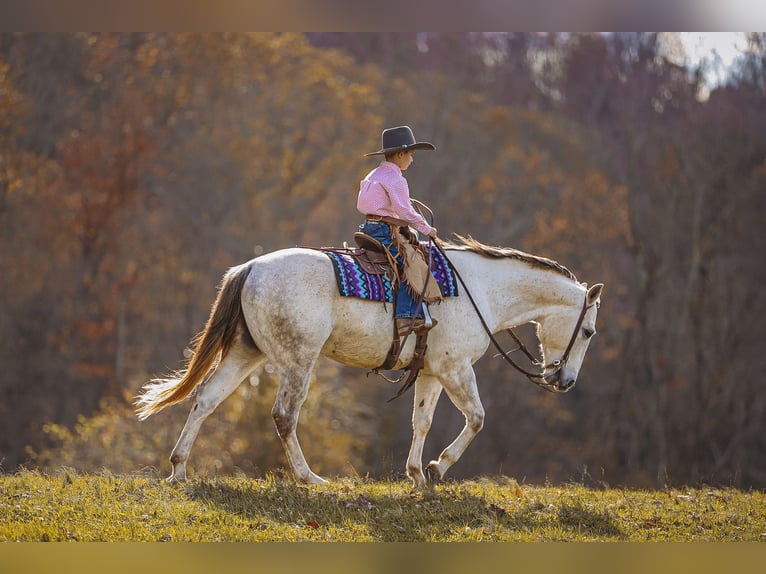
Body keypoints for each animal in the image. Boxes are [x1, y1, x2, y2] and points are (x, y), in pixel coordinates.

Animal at [138, 236, 608, 488]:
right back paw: (309, 478)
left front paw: (417, 475)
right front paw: (438, 467)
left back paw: (179, 470)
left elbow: (422, 422)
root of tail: (251, 267)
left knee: (205, 400)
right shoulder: (456, 369)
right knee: (284, 415)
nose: (564, 380)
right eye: (588, 331)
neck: (481, 289)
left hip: (244, 353)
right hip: (297, 360)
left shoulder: (432, 373)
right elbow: (476, 419)